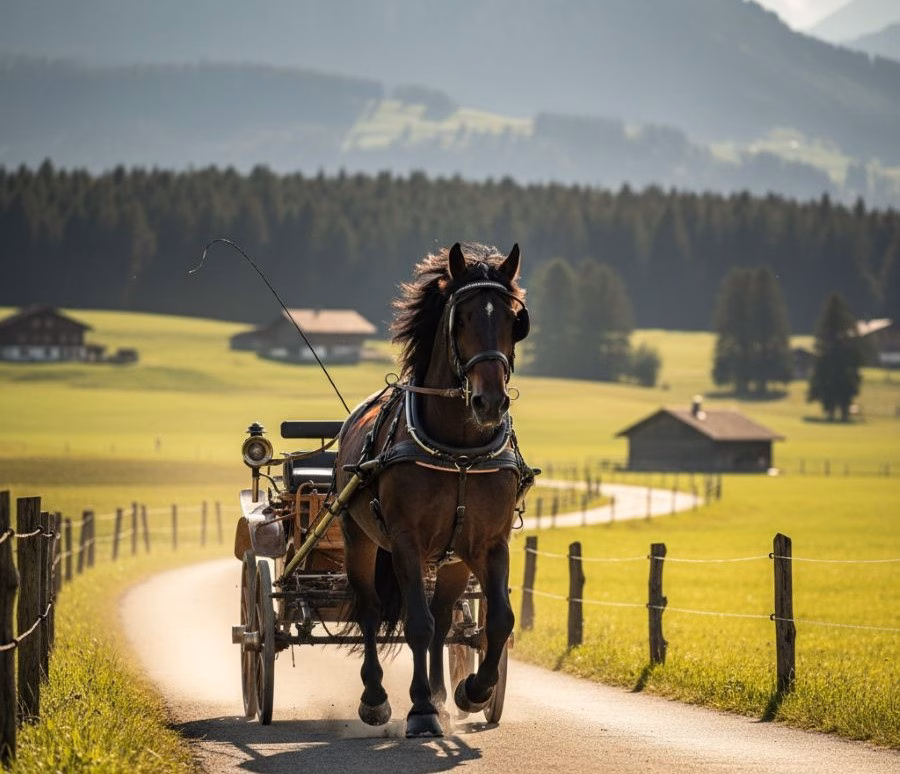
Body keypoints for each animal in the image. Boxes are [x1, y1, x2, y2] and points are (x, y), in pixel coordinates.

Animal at [335, 241, 534, 738]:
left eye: (514, 321)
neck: (457, 450)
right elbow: (416, 625)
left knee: (445, 618)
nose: (490, 402)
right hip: (359, 538)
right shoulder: (405, 541)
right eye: (461, 318)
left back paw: (445, 696)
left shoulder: (489, 543)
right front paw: (420, 708)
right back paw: (377, 698)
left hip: (453, 559)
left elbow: (499, 619)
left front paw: (472, 692)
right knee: (371, 611)